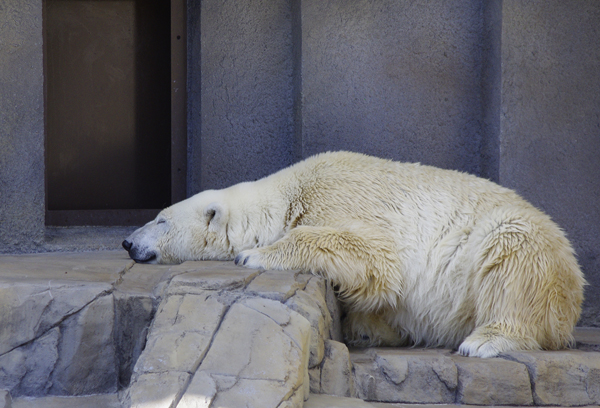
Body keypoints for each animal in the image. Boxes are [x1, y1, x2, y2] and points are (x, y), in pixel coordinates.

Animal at [123, 150, 584, 356]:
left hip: (522, 245)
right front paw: (368, 325)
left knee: (510, 252)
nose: (127, 242)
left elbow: (376, 256)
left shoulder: (341, 197)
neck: (288, 193)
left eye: (160, 220)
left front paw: (254, 255)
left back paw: (486, 340)